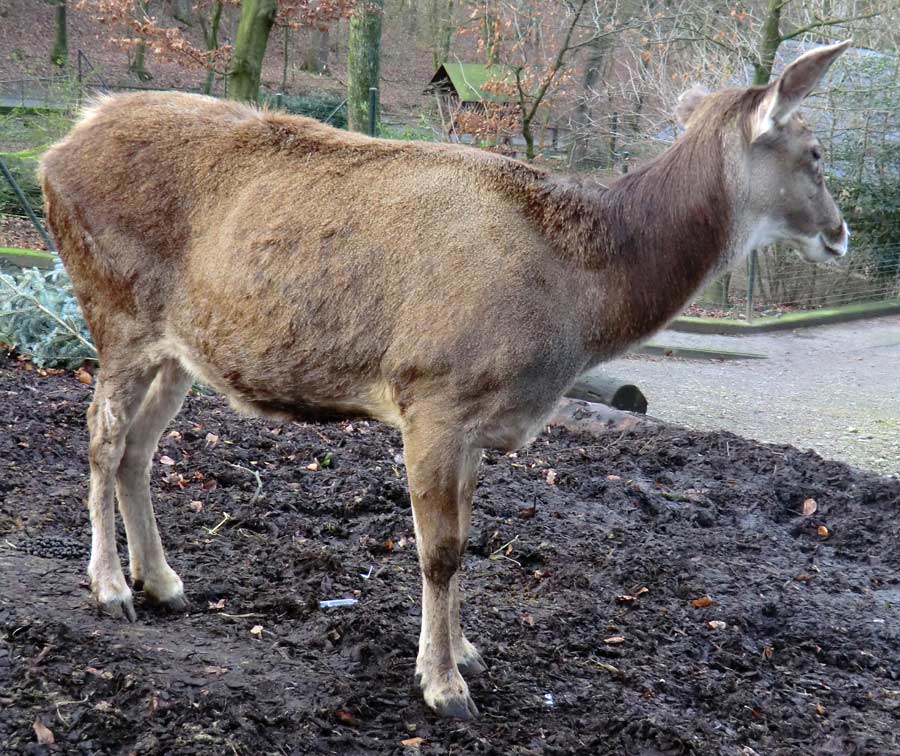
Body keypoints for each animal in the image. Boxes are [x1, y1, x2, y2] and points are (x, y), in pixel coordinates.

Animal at [37, 41, 852, 720]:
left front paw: (463, 651)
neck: (579, 303)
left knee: (140, 448)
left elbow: (467, 538)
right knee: (101, 436)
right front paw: (443, 686)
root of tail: (58, 146)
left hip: (180, 349)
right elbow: (440, 550)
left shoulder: (478, 423)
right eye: (814, 150)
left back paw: (164, 581)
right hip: (114, 309)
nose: (842, 233)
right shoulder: (434, 393)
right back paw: (111, 588)